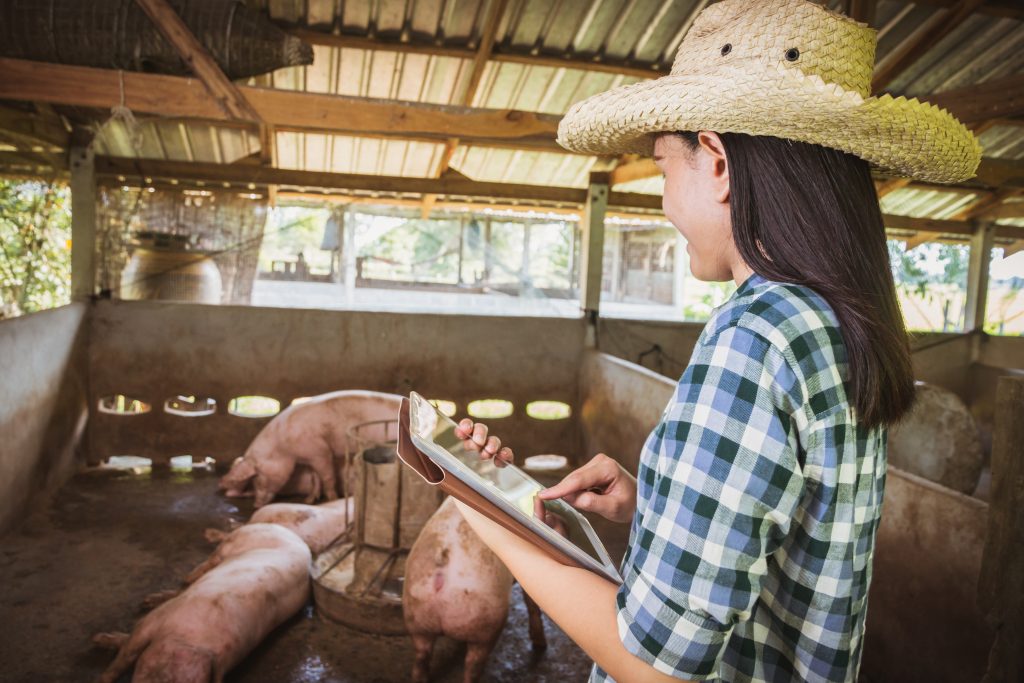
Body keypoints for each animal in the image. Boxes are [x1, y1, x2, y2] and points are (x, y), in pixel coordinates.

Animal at [93, 528, 309, 679]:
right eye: (159, 669)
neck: (190, 638)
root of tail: (285, 530)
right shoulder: (156, 619)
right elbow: (125, 655)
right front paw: (100, 652)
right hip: (239, 539)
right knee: (209, 560)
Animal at [218, 389, 401, 507]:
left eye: (257, 477)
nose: (256, 505)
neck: (283, 447)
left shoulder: (320, 452)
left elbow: (328, 477)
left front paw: (331, 499)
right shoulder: (310, 457)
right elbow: (315, 479)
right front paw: (309, 500)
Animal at [401, 497, 552, 683]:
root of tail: (444, 554)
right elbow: (532, 603)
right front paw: (540, 645)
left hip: (416, 614)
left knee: (421, 658)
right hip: (486, 624)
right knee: (472, 666)